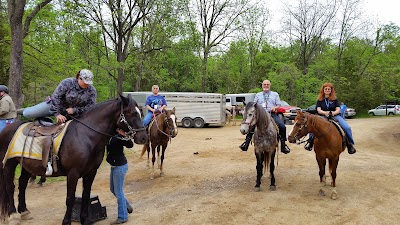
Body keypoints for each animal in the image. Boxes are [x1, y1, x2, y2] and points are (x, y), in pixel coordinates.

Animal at [0, 95, 148, 225]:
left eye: (139, 112)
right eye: (131, 113)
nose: (143, 137)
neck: (86, 136)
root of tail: (7, 129)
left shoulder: (91, 172)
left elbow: (86, 195)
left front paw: (85, 220)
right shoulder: (73, 173)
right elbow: (70, 198)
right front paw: (66, 221)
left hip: (26, 165)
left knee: (22, 184)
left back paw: (24, 211)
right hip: (9, 164)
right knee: (10, 187)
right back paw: (13, 215)